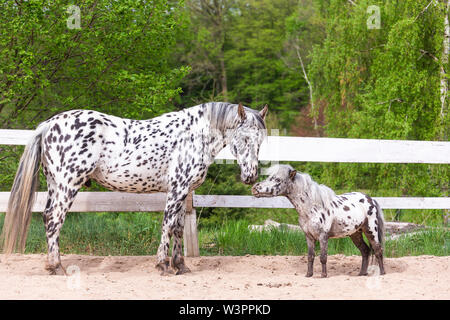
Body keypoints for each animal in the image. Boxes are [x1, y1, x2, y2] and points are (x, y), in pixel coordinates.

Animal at [1, 102, 268, 276]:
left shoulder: (183, 193)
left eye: (261, 140)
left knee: (48, 218)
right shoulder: (177, 190)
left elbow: (178, 228)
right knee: (55, 220)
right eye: (244, 138)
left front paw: (181, 266)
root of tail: (48, 125)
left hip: (55, 185)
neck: (192, 136)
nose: (251, 176)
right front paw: (163, 265)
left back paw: (53, 265)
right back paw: (57, 266)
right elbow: (167, 225)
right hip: (68, 185)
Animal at [251, 165, 384, 278]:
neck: (312, 209)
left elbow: (323, 257)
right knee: (365, 251)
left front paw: (323, 275)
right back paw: (361, 274)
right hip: (355, 233)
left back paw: (382, 273)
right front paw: (308, 275)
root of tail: (371, 199)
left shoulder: (323, 236)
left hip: (371, 230)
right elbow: (310, 256)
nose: (254, 188)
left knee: (378, 250)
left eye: (278, 180)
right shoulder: (309, 236)